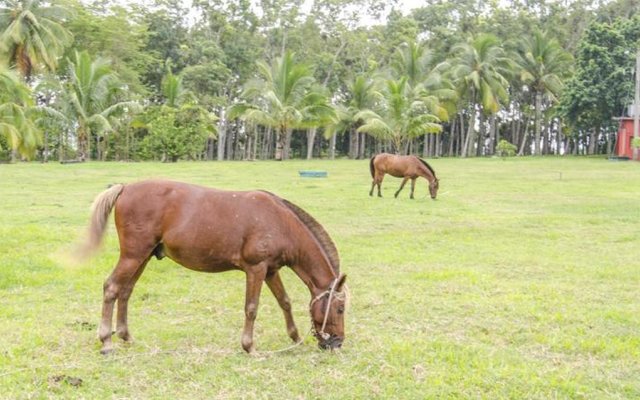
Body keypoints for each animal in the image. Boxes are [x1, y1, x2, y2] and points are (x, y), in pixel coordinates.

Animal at [81, 180, 350, 354]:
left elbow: (284, 302)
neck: (280, 223)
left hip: (142, 257)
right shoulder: (256, 269)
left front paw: (295, 338)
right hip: (133, 256)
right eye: (340, 309)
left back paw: (125, 336)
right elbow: (252, 308)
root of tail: (124, 188)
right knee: (112, 288)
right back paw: (106, 341)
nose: (337, 343)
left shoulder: (271, 270)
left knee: (125, 291)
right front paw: (249, 346)